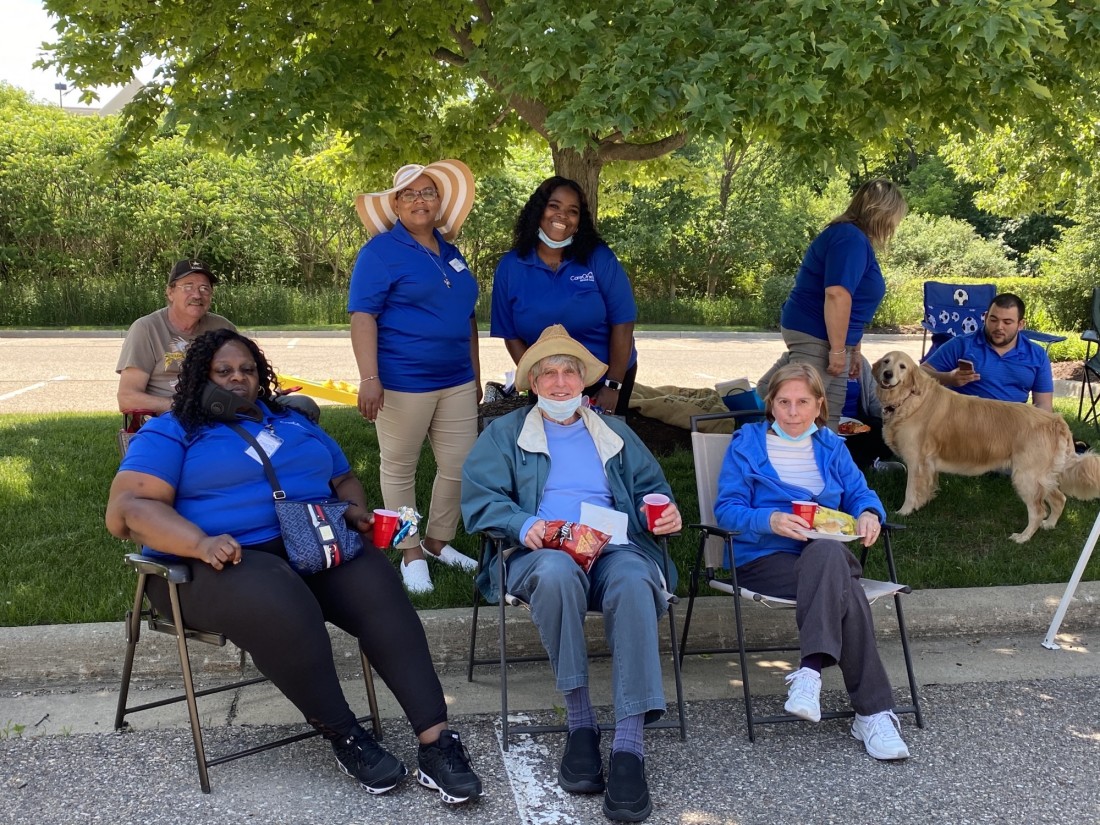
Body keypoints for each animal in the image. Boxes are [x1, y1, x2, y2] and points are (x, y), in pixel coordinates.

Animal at [866, 352, 1100, 545]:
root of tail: (1056, 420)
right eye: (886, 361)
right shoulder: (928, 465)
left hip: (1026, 476)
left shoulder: (916, 461)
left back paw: (1023, 537)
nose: (887, 374)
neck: (909, 399)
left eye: (902, 366)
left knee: (1038, 510)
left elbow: (910, 491)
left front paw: (904, 512)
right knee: (1059, 499)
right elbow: (926, 488)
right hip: (1042, 476)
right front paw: (923, 503)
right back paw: (1049, 525)